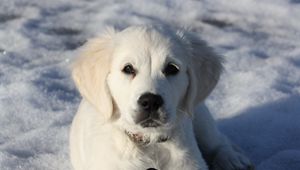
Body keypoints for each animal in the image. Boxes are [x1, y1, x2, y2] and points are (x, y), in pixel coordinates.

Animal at [69, 25, 253, 170]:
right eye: (128, 69)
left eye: (172, 68)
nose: (150, 101)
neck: (151, 144)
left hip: (199, 115)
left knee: (218, 140)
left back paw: (232, 159)